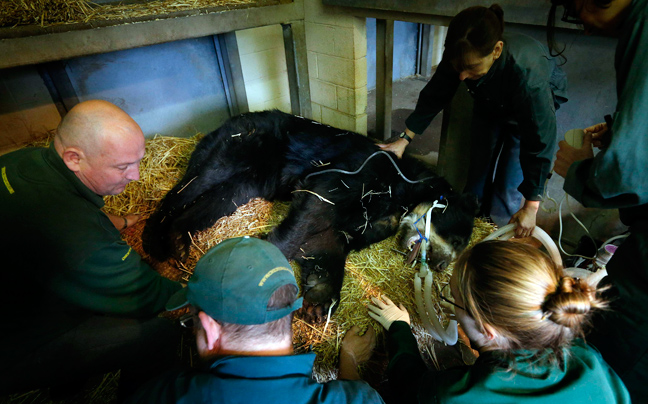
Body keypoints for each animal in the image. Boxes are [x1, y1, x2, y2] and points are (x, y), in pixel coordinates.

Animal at [143, 110, 476, 322]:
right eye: (458, 239)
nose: (442, 264)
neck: (402, 197)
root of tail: (231, 120)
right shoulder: (358, 174)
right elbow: (315, 211)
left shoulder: (369, 220)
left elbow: (328, 241)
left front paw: (319, 300)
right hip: (238, 145)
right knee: (192, 185)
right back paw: (155, 240)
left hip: (249, 178)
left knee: (218, 198)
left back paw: (178, 239)